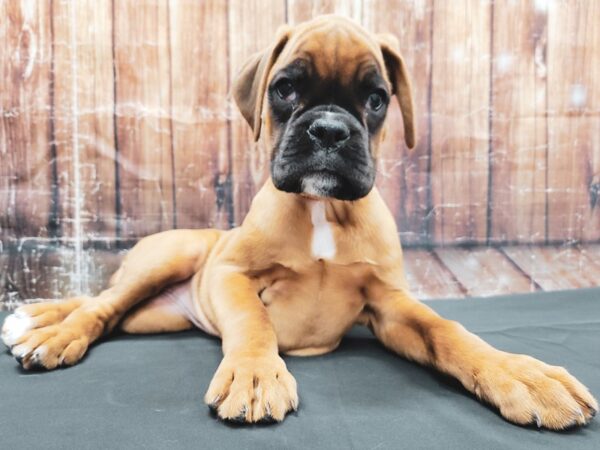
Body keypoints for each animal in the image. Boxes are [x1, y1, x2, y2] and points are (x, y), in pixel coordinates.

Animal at [3, 14, 596, 428]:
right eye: (285, 89)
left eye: (376, 99)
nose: (330, 130)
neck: (322, 209)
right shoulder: (231, 276)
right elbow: (252, 323)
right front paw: (255, 375)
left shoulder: (390, 304)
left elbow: (447, 330)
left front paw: (520, 375)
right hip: (174, 257)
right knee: (100, 305)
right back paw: (49, 333)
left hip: (154, 316)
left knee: (111, 311)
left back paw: (36, 320)